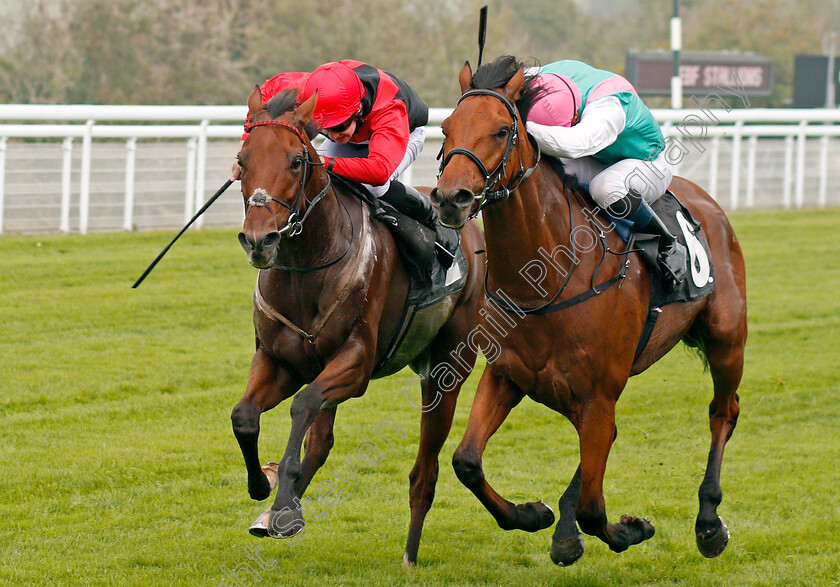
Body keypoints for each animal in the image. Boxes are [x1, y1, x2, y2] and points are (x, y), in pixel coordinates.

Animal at [231, 85, 486, 568]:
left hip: (447, 364)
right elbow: (245, 417)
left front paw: (282, 501)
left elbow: (301, 407)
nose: (258, 241)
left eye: (297, 161)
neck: (307, 265)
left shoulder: (356, 362)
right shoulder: (279, 360)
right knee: (319, 438)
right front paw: (262, 486)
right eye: (241, 159)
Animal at [430, 58, 744, 564]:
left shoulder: (597, 396)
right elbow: (467, 462)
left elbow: (597, 510)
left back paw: (710, 522)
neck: (546, 280)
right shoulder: (507, 375)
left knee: (723, 411)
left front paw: (632, 529)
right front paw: (533, 515)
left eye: (502, 130)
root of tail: (707, 201)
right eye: (446, 127)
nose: (449, 197)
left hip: (726, 339)